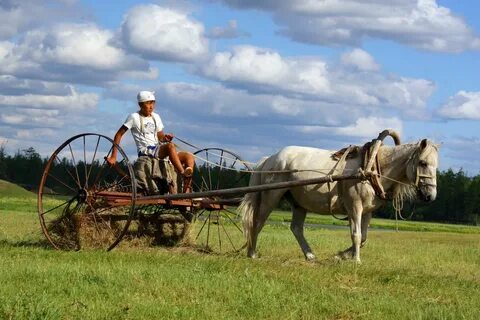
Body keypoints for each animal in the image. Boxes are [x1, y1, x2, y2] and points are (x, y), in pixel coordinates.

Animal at [240, 135, 438, 262]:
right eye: (423, 163)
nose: (430, 195)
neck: (372, 166)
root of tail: (269, 159)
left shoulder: (367, 211)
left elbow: (364, 237)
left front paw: (341, 255)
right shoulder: (354, 207)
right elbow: (356, 235)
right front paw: (356, 260)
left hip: (299, 203)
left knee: (296, 228)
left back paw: (310, 255)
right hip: (271, 196)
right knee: (258, 221)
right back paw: (252, 253)